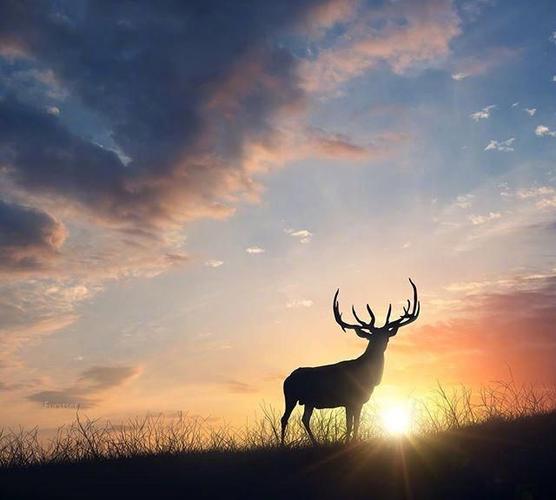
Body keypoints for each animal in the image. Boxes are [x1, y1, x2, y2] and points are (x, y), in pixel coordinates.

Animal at [280, 278, 420, 446]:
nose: (380, 345)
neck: (368, 378)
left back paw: (315, 443)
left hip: (308, 401)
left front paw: (353, 441)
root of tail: (287, 379)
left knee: (304, 419)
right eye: (372, 337)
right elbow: (349, 424)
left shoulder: (358, 402)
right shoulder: (349, 400)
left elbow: (356, 423)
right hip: (290, 395)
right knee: (284, 418)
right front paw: (348, 443)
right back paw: (282, 445)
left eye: (386, 336)